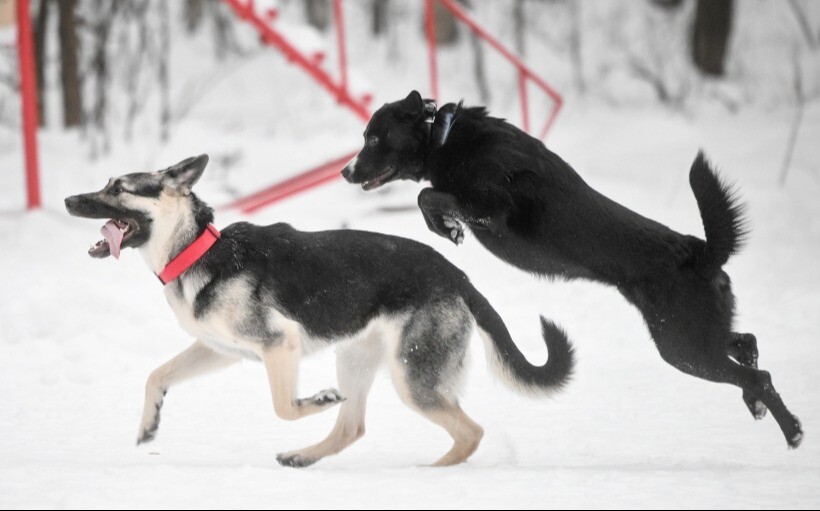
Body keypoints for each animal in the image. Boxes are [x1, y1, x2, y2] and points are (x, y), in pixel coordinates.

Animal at [64, 155, 572, 468]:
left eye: (118, 188)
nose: (68, 200)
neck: (195, 250)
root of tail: (458, 276)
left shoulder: (278, 345)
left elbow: (284, 407)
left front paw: (316, 400)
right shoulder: (219, 350)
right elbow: (157, 375)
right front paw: (149, 423)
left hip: (412, 378)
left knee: (470, 433)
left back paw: (431, 470)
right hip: (356, 359)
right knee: (353, 428)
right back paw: (304, 456)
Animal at [342, 91, 804, 448]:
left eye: (374, 137)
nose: (346, 171)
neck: (444, 136)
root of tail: (700, 251)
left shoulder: (491, 211)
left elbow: (428, 196)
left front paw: (447, 227)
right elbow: (428, 197)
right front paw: (445, 228)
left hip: (683, 347)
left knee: (758, 375)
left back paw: (793, 432)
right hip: (694, 335)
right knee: (746, 344)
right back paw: (760, 407)